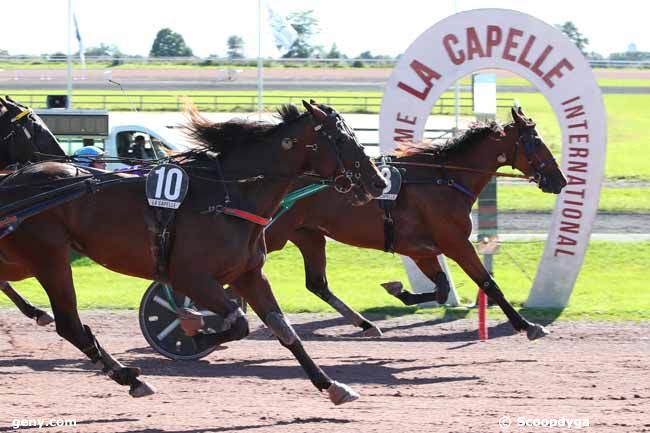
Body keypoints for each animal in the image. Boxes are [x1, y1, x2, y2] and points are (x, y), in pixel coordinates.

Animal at [0, 101, 384, 404]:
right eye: (340, 138)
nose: (378, 181)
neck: (228, 196)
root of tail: (12, 182)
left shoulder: (249, 274)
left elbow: (285, 331)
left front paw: (332, 385)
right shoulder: (189, 276)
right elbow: (237, 322)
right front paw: (193, 330)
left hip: (23, 259)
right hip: (49, 257)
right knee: (70, 325)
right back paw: (130, 377)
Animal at [264, 108, 568, 338]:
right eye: (536, 142)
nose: (560, 180)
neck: (445, 179)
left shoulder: (421, 249)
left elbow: (442, 288)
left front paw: (399, 291)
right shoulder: (456, 243)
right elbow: (487, 282)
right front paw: (527, 325)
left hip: (308, 235)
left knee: (317, 284)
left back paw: (365, 324)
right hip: (276, 233)